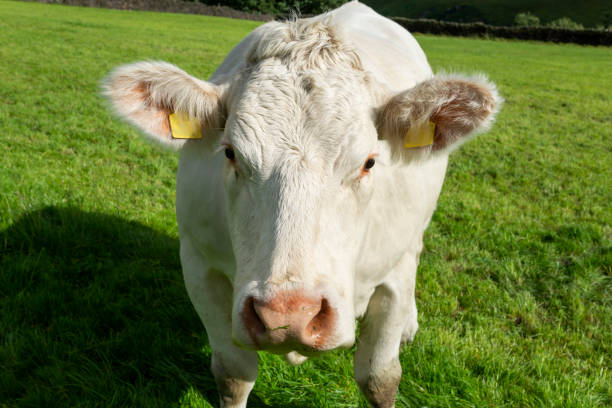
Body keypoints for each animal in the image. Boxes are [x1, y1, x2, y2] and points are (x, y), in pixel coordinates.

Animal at [103, 1, 500, 406]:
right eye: (230, 153)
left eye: (369, 162)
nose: (290, 316)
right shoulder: (199, 263)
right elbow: (232, 374)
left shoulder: (393, 275)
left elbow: (380, 378)